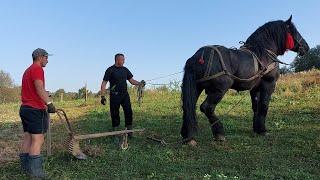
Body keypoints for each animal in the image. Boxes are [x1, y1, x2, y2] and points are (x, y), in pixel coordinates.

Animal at [182, 15, 310, 143]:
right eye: (293, 30)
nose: (306, 47)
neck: (264, 53)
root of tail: (199, 56)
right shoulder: (268, 84)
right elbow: (264, 106)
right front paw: (263, 130)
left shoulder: (255, 88)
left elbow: (256, 107)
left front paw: (257, 129)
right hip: (219, 89)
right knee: (207, 107)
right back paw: (219, 133)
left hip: (197, 88)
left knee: (188, 107)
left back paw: (188, 137)